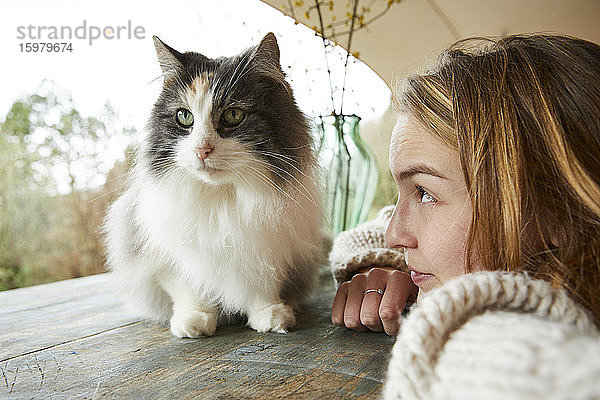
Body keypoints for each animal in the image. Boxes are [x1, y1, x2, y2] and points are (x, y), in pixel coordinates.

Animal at [102, 32, 324, 338]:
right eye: (184, 117)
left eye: (233, 115)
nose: (202, 150)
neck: (222, 197)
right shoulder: (173, 255)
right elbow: (190, 287)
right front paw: (194, 321)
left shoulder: (270, 245)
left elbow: (264, 285)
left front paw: (270, 316)